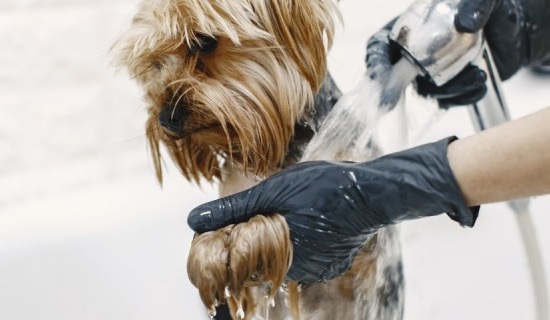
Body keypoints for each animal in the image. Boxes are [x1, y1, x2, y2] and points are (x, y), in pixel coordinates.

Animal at [112, 1, 406, 318]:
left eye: (204, 42)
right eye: (155, 63)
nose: (166, 118)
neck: (272, 156)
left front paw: (248, 240)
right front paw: (210, 251)